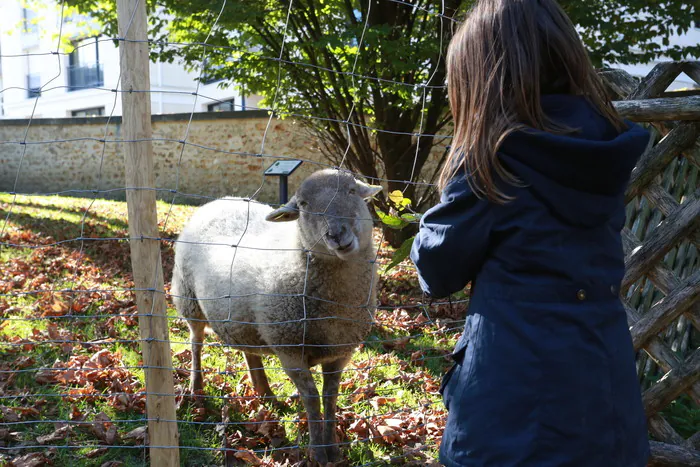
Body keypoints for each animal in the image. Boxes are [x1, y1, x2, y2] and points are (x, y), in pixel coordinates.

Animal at [172, 169, 382, 464]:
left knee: (249, 350)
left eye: (352, 191)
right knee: (196, 342)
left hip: (243, 317)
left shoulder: (341, 351)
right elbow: (312, 398)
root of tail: (219, 200)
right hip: (189, 298)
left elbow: (330, 397)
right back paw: (197, 388)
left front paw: (333, 449)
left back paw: (266, 394)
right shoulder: (289, 350)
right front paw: (318, 452)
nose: (337, 235)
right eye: (304, 204)